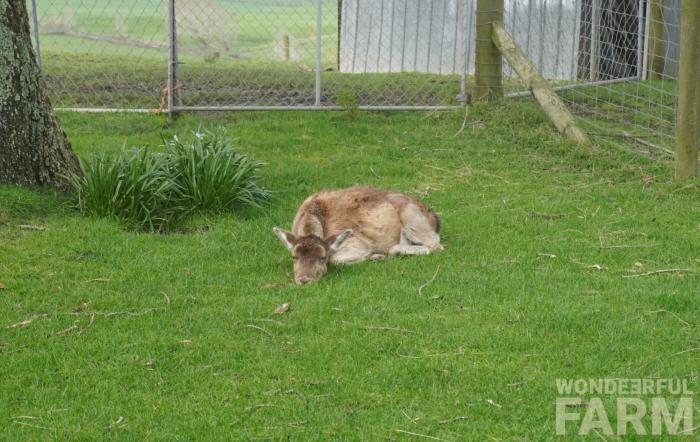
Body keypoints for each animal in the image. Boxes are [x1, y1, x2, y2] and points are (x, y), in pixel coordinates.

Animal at [274, 186, 442, 284]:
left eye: (322, 257)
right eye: (293, 257)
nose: (304, 280)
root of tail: (434, 218)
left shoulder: (358, 242)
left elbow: (336, 260)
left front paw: (371, 257)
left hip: (413, 219)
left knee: (435, 246)